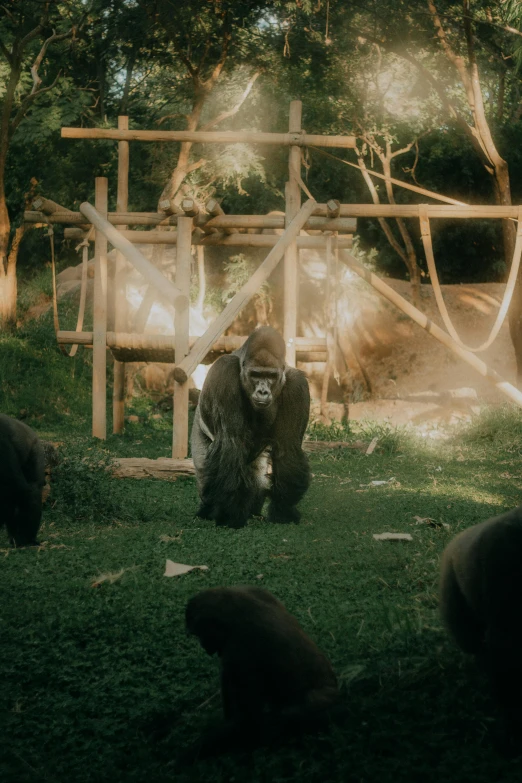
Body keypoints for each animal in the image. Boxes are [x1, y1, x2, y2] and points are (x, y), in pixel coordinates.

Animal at [190, 324, 308, 528]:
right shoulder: (224, 372)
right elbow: (230, 443)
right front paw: (228, 514)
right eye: (256, 375)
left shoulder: (297, 385)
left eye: (271, 376)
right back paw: (207, 510)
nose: (263, 391)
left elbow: (288, 448)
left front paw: (283, 511)